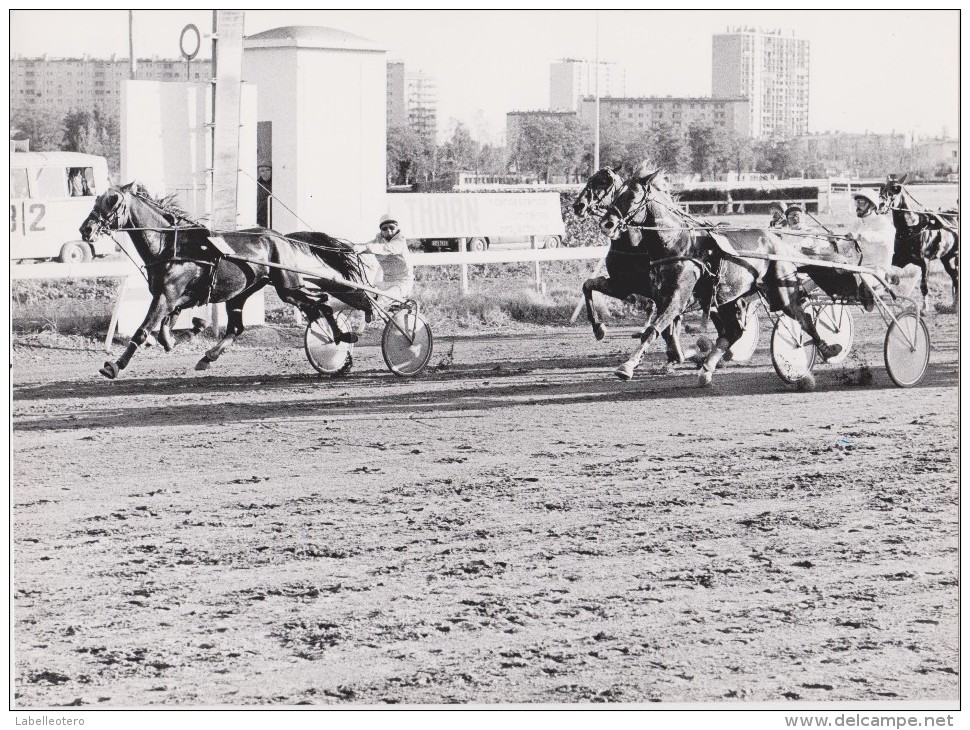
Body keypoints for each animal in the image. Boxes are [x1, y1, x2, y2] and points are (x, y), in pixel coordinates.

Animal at [80, 181, 370, 378]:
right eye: (97, 199)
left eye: (112, 200)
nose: (86, 229)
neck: (171, 245)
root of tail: (281, 237)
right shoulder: (173, 297)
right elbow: (166, 326)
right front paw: (182, 335)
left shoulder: (167, 295)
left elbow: (144, 330)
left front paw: (114, 365)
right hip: (242, 292)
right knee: (237, 327)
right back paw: (208, 357)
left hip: (287, 286)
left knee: (322, 302)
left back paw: (341, 337)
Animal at [572, 168, 700, 366]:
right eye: (590, 179)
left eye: (604, 182)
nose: (579, 205)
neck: (630, 247)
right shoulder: (622, 285)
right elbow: (588, 285)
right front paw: (598, 328)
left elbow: (661, 313)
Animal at [600, 171, 844, 386]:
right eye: (616, 194)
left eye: (632, 196)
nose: (607, 223)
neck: (677, 243)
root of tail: (778, 242)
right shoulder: (660, 297)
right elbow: (662, 328)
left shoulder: (677, 298)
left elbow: (653, 329)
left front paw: (627, 366)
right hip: (729, 297)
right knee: (734, 332)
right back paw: (706, 370)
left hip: (781, 292)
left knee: (803, 317)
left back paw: (827, 348)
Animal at [872, 176, 956, 312]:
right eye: (882, 188)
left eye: (896, 188)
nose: (880, 205)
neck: (911, 227)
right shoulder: (899, 258)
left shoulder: (925, 262)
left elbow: (924, 285)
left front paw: (924, 308)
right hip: (947, 257)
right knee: (955, 277)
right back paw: (954, 305)